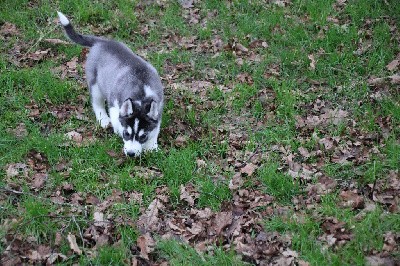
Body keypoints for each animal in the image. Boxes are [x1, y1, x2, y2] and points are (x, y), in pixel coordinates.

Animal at [56, 12, 162, 157]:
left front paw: (151, 146)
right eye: (126, 134)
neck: (141, 95)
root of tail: (102, 41)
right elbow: (117, 120)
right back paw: (104, 119)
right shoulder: (115, 105)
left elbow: (155, 130)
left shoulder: (158, 110)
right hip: (95, 84)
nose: (131, 154)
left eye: (142, 136)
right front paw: (117, 130)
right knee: (97, 103)